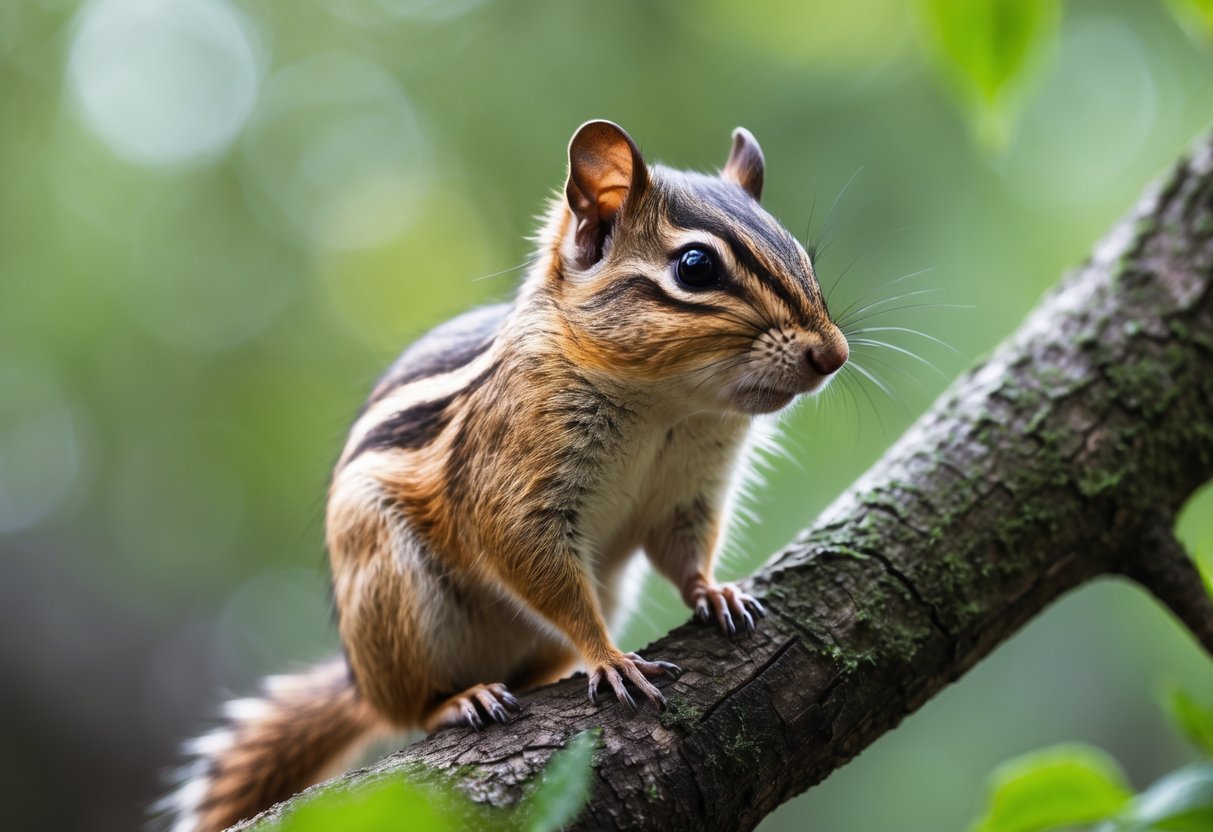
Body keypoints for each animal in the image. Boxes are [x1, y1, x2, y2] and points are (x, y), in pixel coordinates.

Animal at [162, 120, 849, 832]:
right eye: (695, 267)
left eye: (802, 254)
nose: (834, 354)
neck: (668, 407)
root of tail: (361, 680)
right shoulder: (513, 484)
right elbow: (532, 562)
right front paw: (610, 658)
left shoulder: (691, 489)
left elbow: (684, 552)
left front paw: (714, 592)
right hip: (393, 595)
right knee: (409, 708)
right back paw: (460, 699)